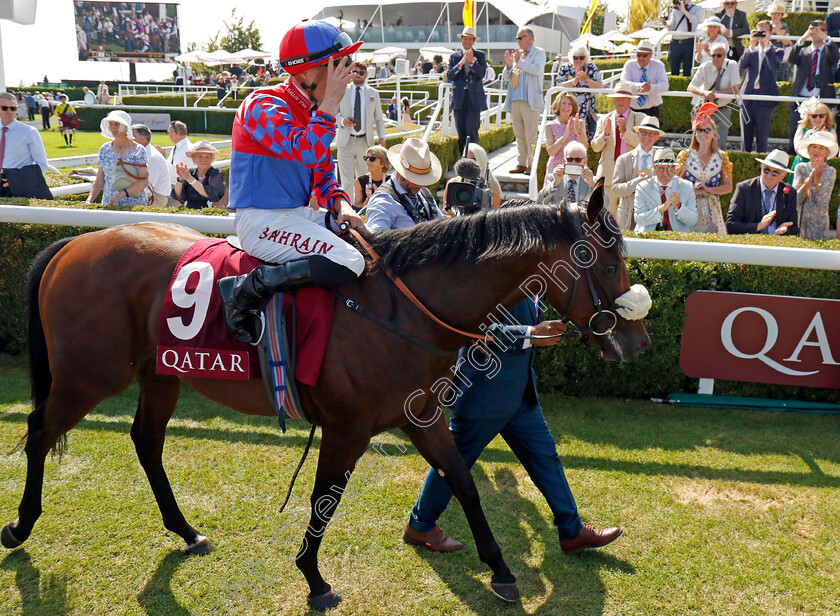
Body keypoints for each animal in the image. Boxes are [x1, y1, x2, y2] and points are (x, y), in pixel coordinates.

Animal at [0, 199, 648, 612]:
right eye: (607, 260)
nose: (637, 341)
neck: (401, 307)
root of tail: (75, 241)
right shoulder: (347, 428)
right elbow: (324, 499)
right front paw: (313, 578)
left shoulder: (421, 416)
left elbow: (462, 481)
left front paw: (503, 571)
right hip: (89, 376)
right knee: (38, 431)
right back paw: (20, 525)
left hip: (160, 373)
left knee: (146, 441)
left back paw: (185, 530)